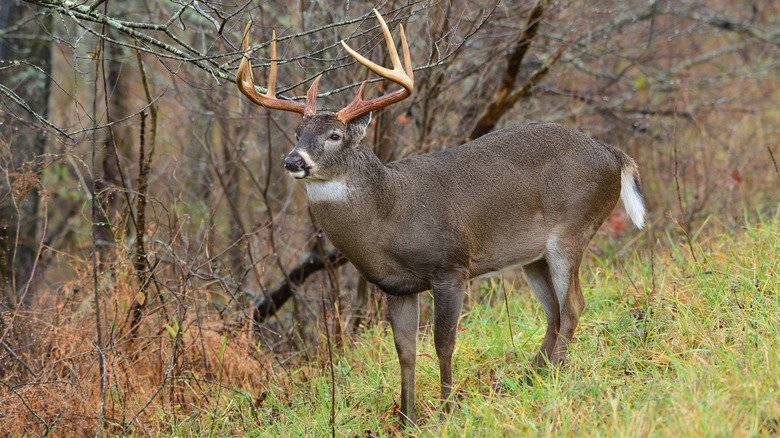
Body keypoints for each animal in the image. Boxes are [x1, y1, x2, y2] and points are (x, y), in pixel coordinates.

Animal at [236, 10, 645, 427]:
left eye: (334, 135)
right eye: (297, 133)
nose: (293, 161)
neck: (390, 214)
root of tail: (614, 155)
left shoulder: (450, 267)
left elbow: (443, 343)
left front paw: (447, 410)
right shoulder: (396, 286)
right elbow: (405, 351)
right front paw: (406, 418)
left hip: (573, 230)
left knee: (574, 305)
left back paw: (552, 377)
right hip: (533, 256)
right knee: (555, 313)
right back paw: (530, 378)